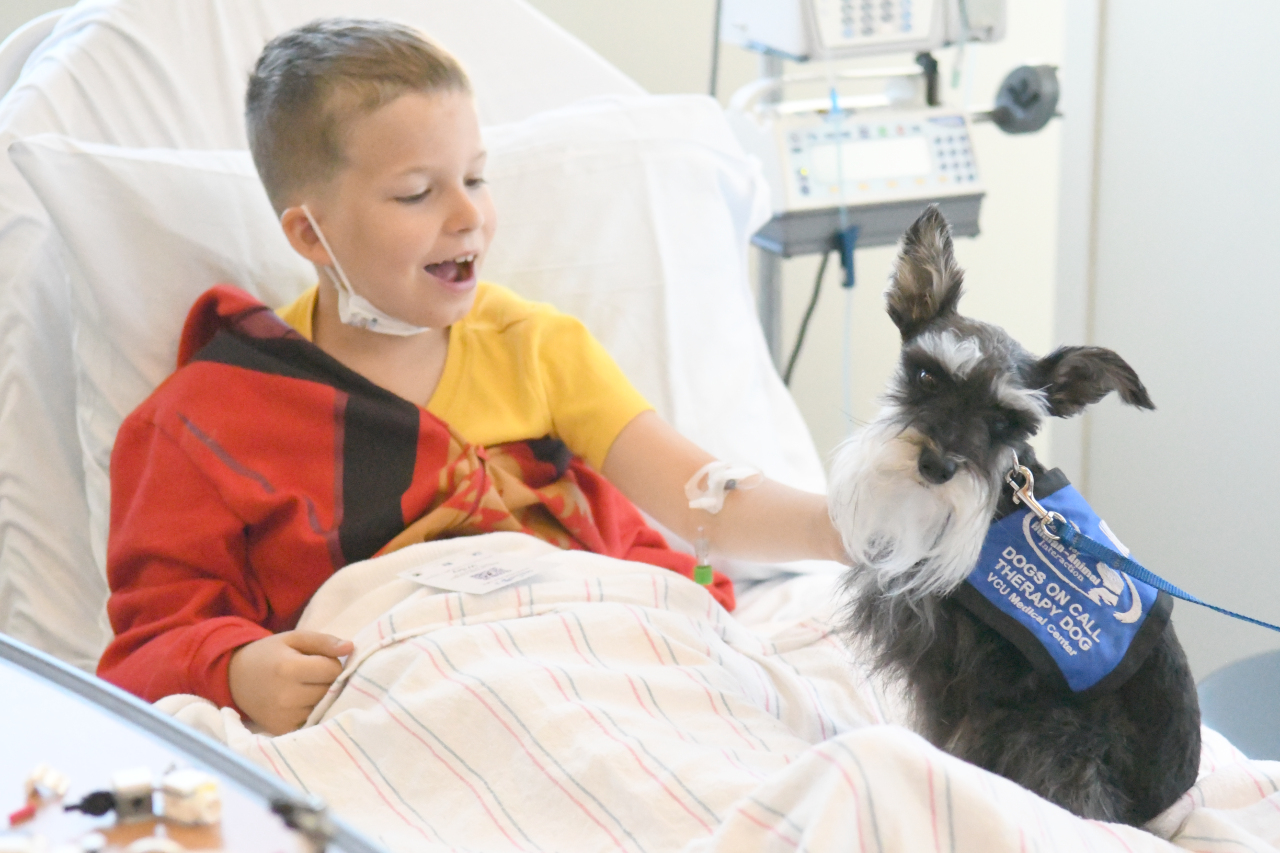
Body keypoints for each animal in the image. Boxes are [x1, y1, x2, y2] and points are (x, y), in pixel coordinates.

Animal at [829, 206, 1198, 824]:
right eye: (926, 376)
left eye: (1006, 422)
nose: (936, 465)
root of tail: (1164, 810)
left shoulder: (969, 681)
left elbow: (945, 736)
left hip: (1052, 733)